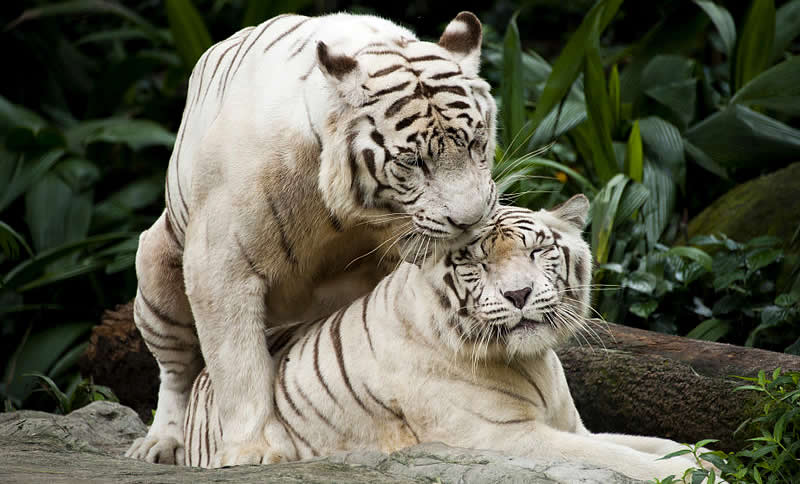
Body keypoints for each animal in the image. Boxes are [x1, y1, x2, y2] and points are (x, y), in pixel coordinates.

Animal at [125, 10, 496, 466]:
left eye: (476, 142)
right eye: (412, 161)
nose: (470, 219)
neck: (349, 214)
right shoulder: (220, 263)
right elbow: (237, 364)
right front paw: (253, 451)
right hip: (157, 269)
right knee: (176, 372)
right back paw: (161, 444)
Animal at [183, 198, 708, 484]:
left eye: (538, 251)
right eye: (476, 264)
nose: (519, 294)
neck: (532, 361)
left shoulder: (573, 426)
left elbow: (655, 443)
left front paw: (704, 460)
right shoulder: (504, 437)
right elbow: (619, 459)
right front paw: (699, 474)